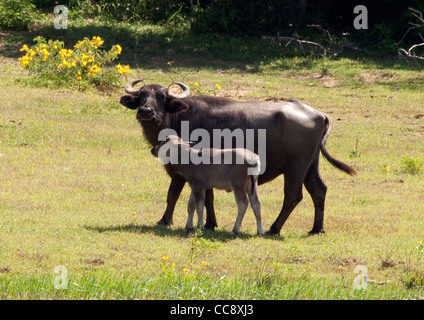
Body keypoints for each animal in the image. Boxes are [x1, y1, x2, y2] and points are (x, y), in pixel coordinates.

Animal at [119, 80, 354, 235]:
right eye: (142, 95)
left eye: (162, 97)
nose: (146, 111)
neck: (180, 117)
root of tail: (320, 115)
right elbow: (205, 198)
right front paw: (210, 223)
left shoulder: (183, 173)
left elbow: (174, 195)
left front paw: (166, 220)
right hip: (311, 165)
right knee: (319, 190)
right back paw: (316, 229)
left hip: (296, 167)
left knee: (293, 196)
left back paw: (273, 228)